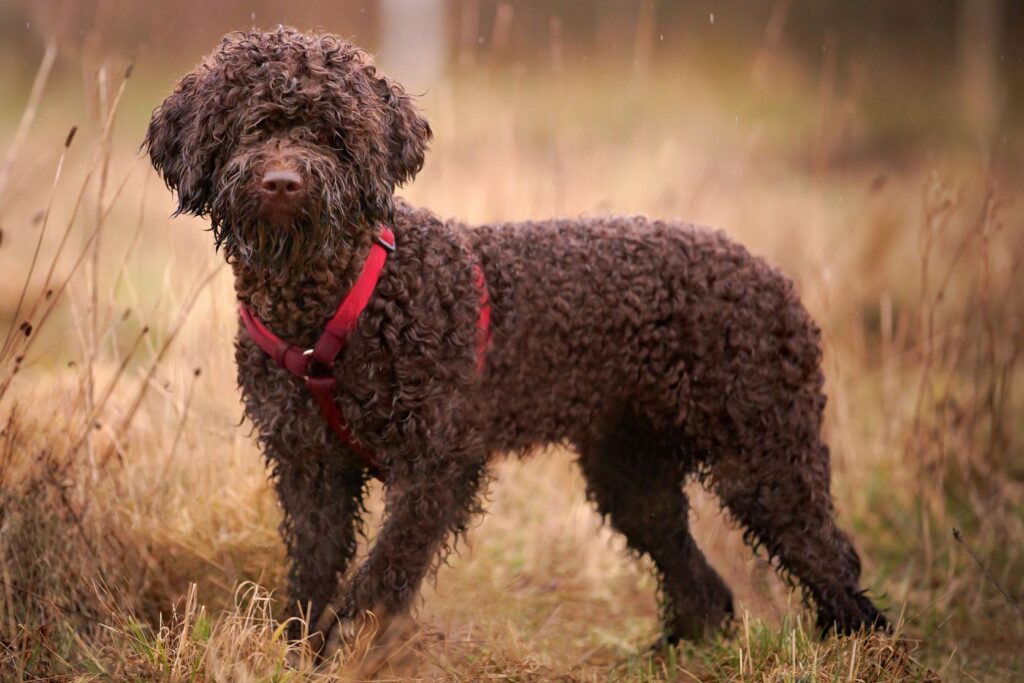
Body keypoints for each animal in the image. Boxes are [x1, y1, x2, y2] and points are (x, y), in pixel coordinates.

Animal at [146, 26, 888, 655]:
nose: (283, 182)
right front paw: (297, 650)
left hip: (762, 454)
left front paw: (348, 649)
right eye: (251, 124)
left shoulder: (436, 468)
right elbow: (313, 571)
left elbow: (381, 577)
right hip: (632, 470)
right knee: (702, 585)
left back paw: (859, 645)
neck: (334, 304)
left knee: (831, 562)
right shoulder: (310, 467)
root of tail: (776, 280)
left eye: (333, 133)